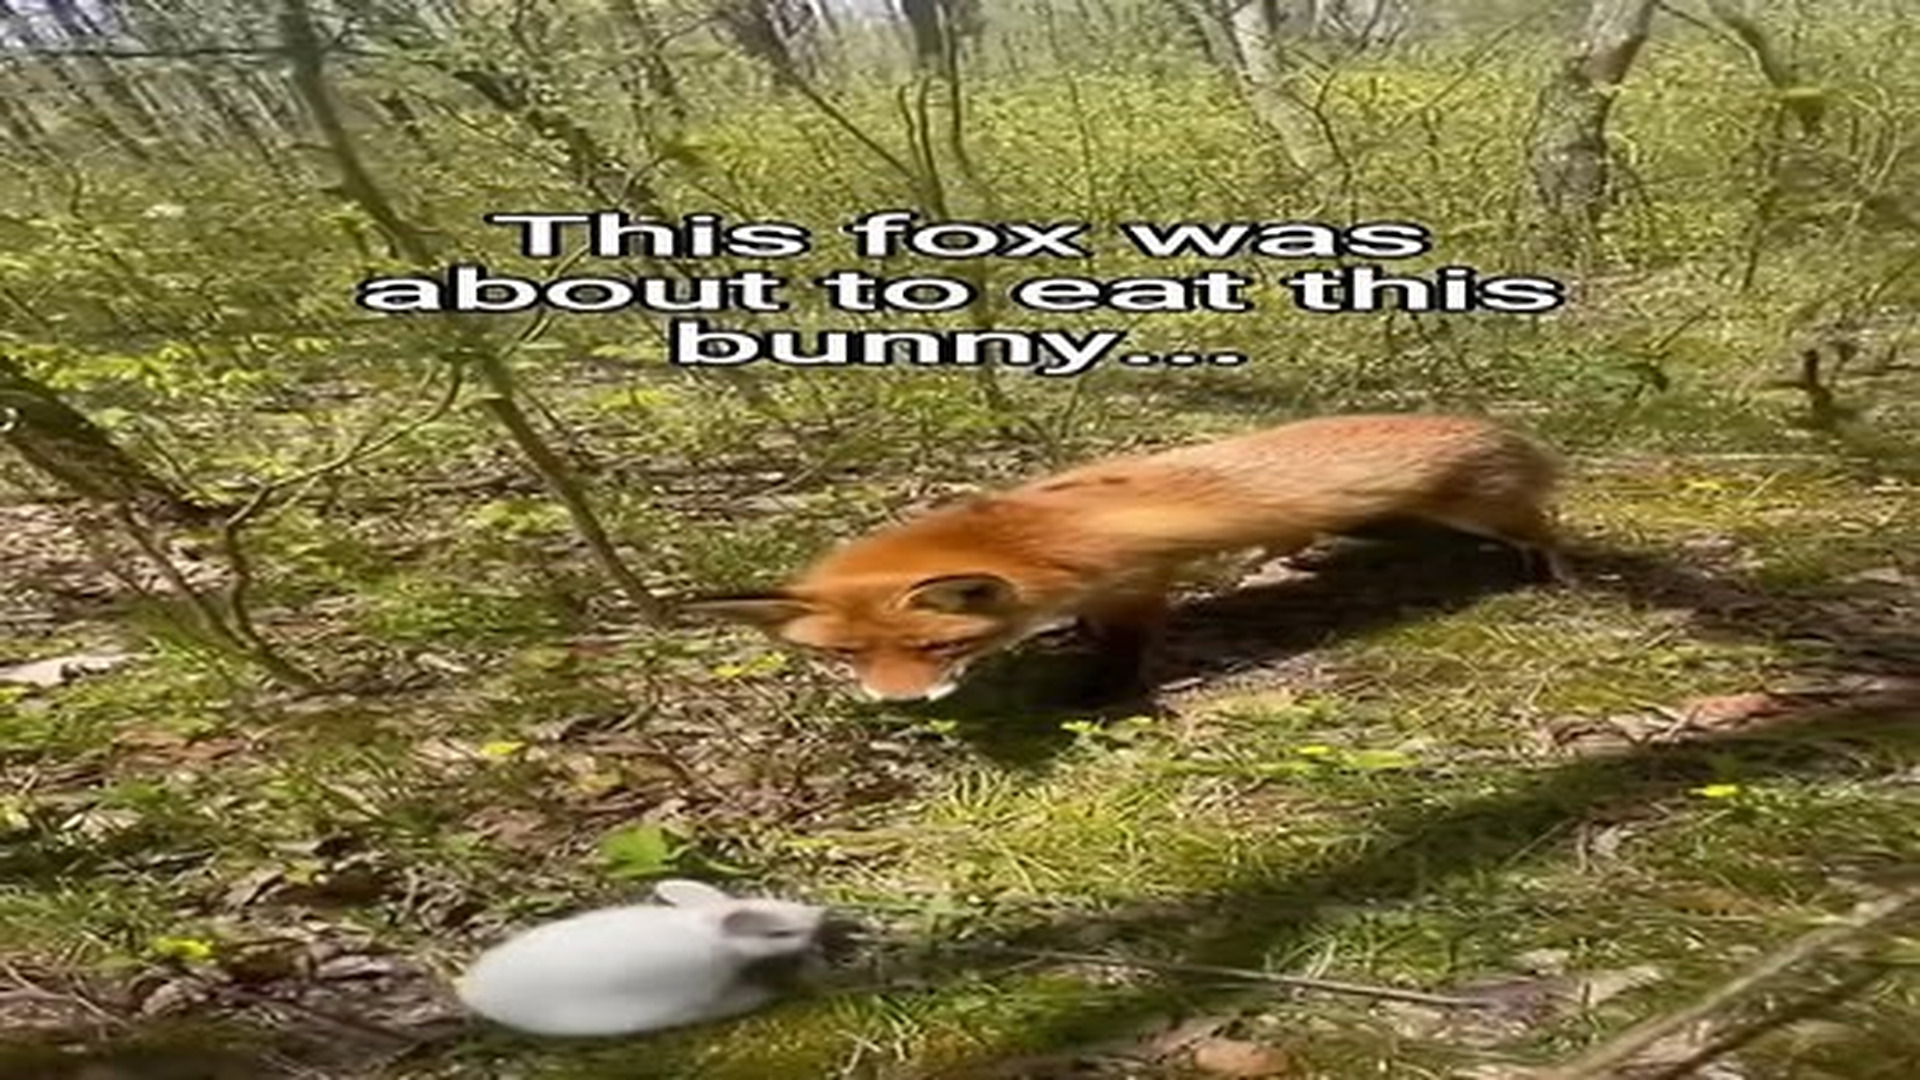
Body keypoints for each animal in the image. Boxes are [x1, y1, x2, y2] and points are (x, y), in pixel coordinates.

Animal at [681, 413, 1570, 704]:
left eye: (939, 646)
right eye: (849, 658)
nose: (902, 704)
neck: (1024, 543)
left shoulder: (1137, 581)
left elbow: (1127, 648)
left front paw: (1102, 692)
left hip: (1482, 510)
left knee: (1540, 524)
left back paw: (1553, 571)